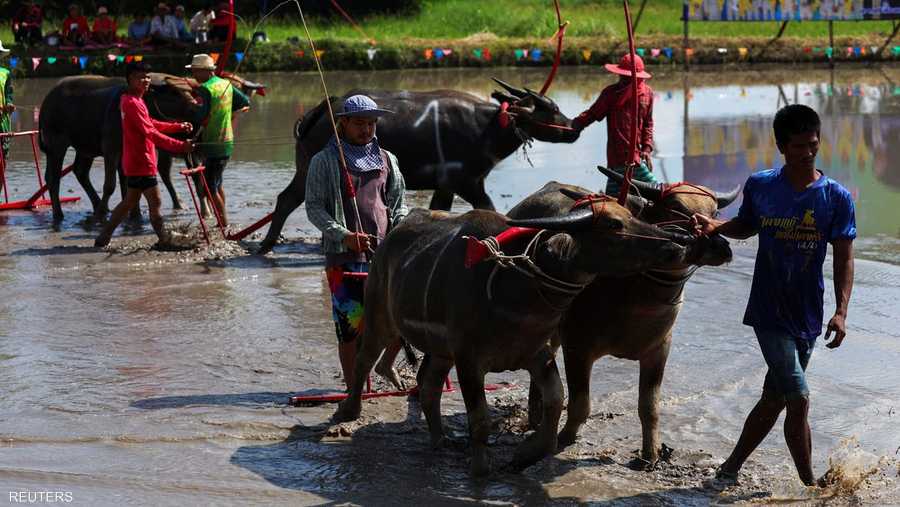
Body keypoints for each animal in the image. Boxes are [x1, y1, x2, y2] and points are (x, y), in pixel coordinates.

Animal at [40, 72, 264, 221]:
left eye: (187, 91)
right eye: (174, 92)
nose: (194, 108)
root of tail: (48, 99)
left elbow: (128, 182)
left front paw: (134, 214)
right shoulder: (111, 148)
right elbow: (111, 184)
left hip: (85, 147)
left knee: (80, 171)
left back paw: (98, 207)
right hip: (55, 142)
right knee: (53, 177)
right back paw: (61, 214)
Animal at [258, 81, 584, 256]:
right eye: (551, 109)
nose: (574, 128)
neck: (489, 127)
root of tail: (319, 110)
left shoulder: (446, 186)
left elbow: (439, 209)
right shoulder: (467, 182)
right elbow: (490, 208)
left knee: (286, 199)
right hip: (309, 170)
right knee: (288, 200)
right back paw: (266, 245)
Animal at [334, 201, 700, 476]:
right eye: (613, 224)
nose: (677, 243)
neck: (516, 284)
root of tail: (387, 241)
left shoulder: (537, 353)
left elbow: (555, 400)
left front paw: (526, 454)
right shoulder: (470, 360)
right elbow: (480, 419)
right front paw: (481, 468)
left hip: (440, 352)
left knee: (429, 388)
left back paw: (440, 438)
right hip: (380, 317)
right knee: (365, 359)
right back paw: (348, 411)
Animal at [506, 172, 740, 468]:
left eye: (715, 212)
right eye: (677, 209)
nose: (720, 247)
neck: (636, 293)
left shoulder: (659, 351)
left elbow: (649, 408)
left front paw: (650, 455)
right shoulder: (577, 346)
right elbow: (580, 404)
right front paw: (565, 437)